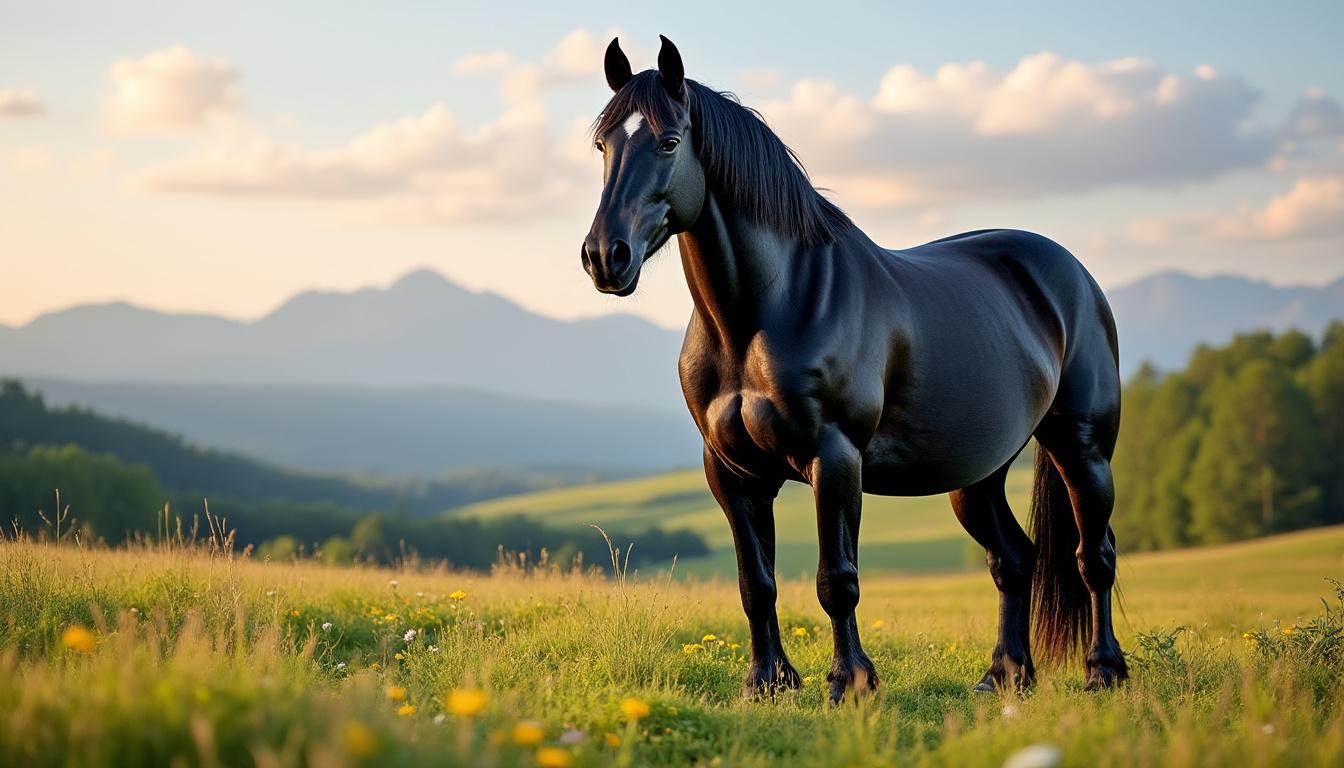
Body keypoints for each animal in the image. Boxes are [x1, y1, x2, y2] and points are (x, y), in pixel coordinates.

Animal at [581, 36, 1127, 703]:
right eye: (603, 145)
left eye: (668, 141)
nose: (605, 257)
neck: (763, 314)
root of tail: (1073, 274)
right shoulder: (732, 473)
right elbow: (756, 584)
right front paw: (767, 682)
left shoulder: (834, 458)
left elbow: (836, 580)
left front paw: (851, 682)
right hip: (977, 474)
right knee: (1014, 560)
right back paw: (1004, 676)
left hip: (1083, 449)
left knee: (1094, 556)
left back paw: (1104, 670)